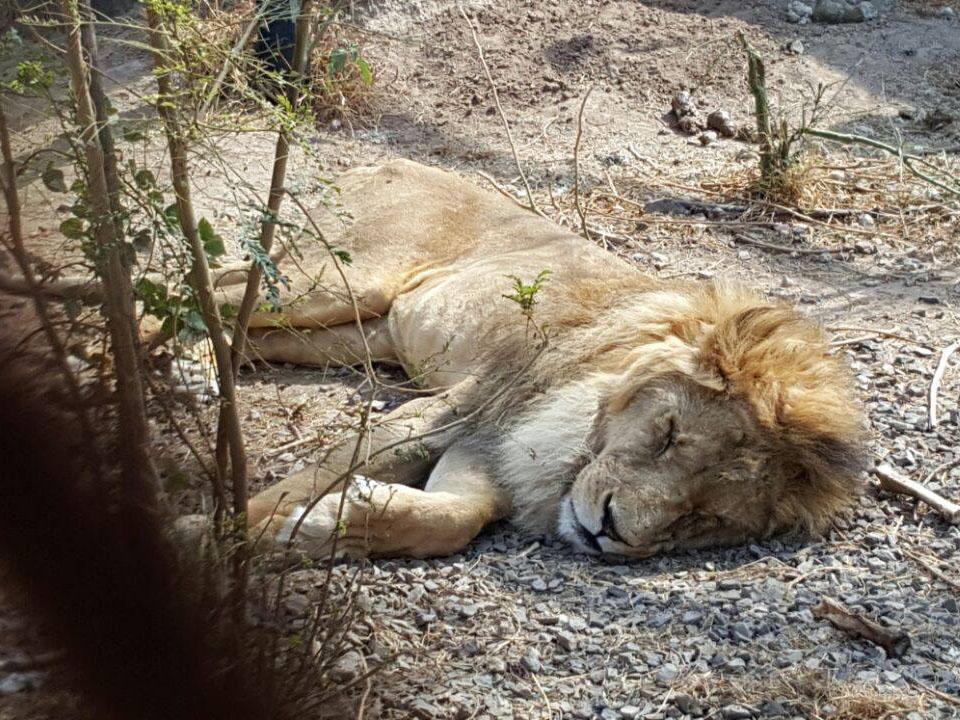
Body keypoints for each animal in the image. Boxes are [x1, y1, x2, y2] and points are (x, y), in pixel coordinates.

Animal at [231, 160, 864, 560]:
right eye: (667, 435)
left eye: (708, 516)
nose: (607, 531)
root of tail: (382, 161)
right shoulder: (470, 408)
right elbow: (307, 479)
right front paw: (229, 534)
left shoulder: (490, 453)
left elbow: (454, 518)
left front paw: (325, 526)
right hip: (339, 281)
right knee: (221, 290)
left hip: (354, 330)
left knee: (246, 331)